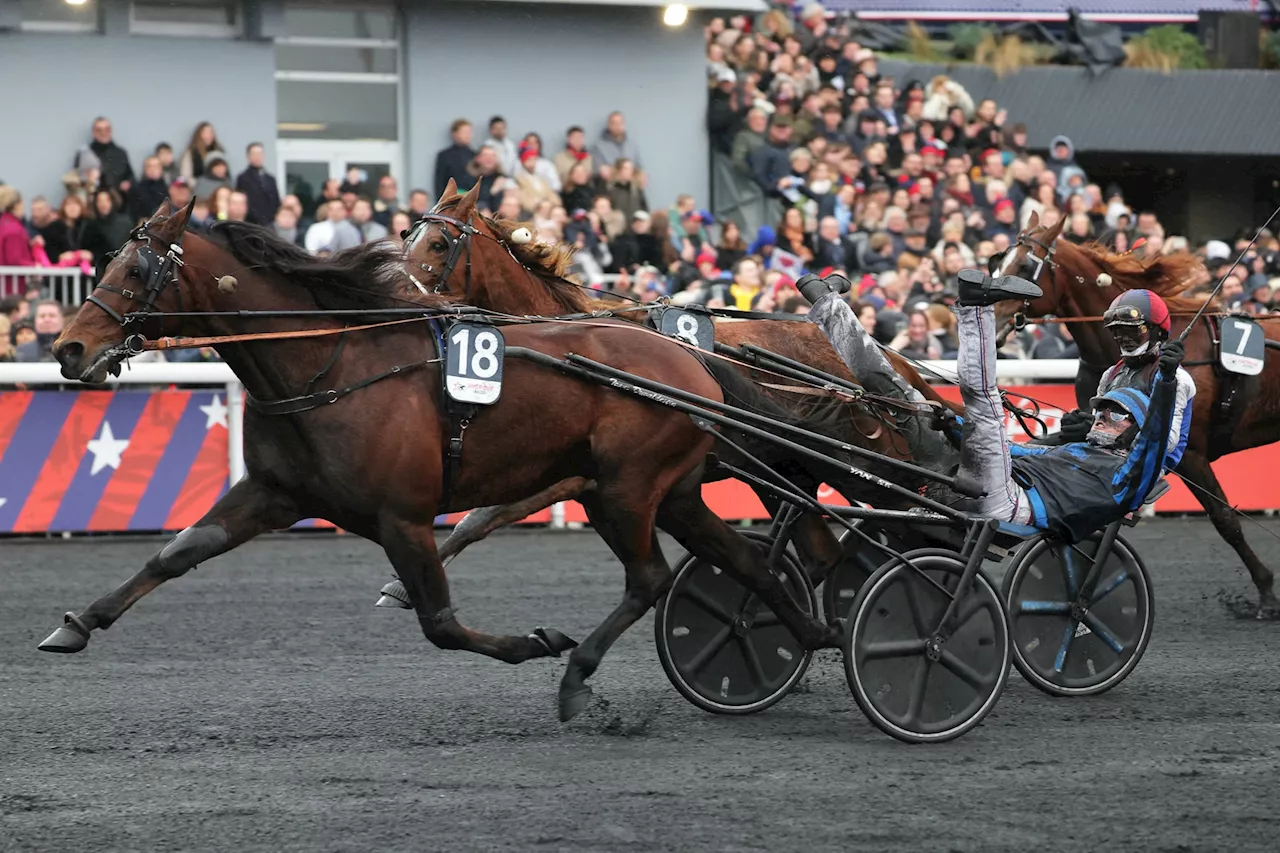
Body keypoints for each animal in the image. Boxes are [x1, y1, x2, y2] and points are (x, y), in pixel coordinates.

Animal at [45, 202, 839, 712]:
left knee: (651, 577)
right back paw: (808, 632)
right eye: (108, 259)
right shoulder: (275, 490)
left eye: (137, 271)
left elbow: (441, 621)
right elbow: (176, 552)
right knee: (740, 560)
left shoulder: (402, 515)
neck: (327, 366)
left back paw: (579, 679)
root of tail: (693, 362)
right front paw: (76, 623)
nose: (68, 348)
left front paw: (535, 642)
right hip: (663, 490)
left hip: (624, 489)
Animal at [386, 178, 962, 578]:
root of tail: (882, 356)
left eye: (439, 243)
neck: (570, 336)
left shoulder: (570, 470)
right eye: (407, 234)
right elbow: (474, 519)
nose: (394, 291)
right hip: (793, 466)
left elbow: (481, 516)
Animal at [993, 212, 1280, 612]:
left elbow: (1225, 518)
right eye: (999, 260)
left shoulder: (1190, 453)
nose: (983, 313)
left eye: (1023, 266)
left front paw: (1266, 590)